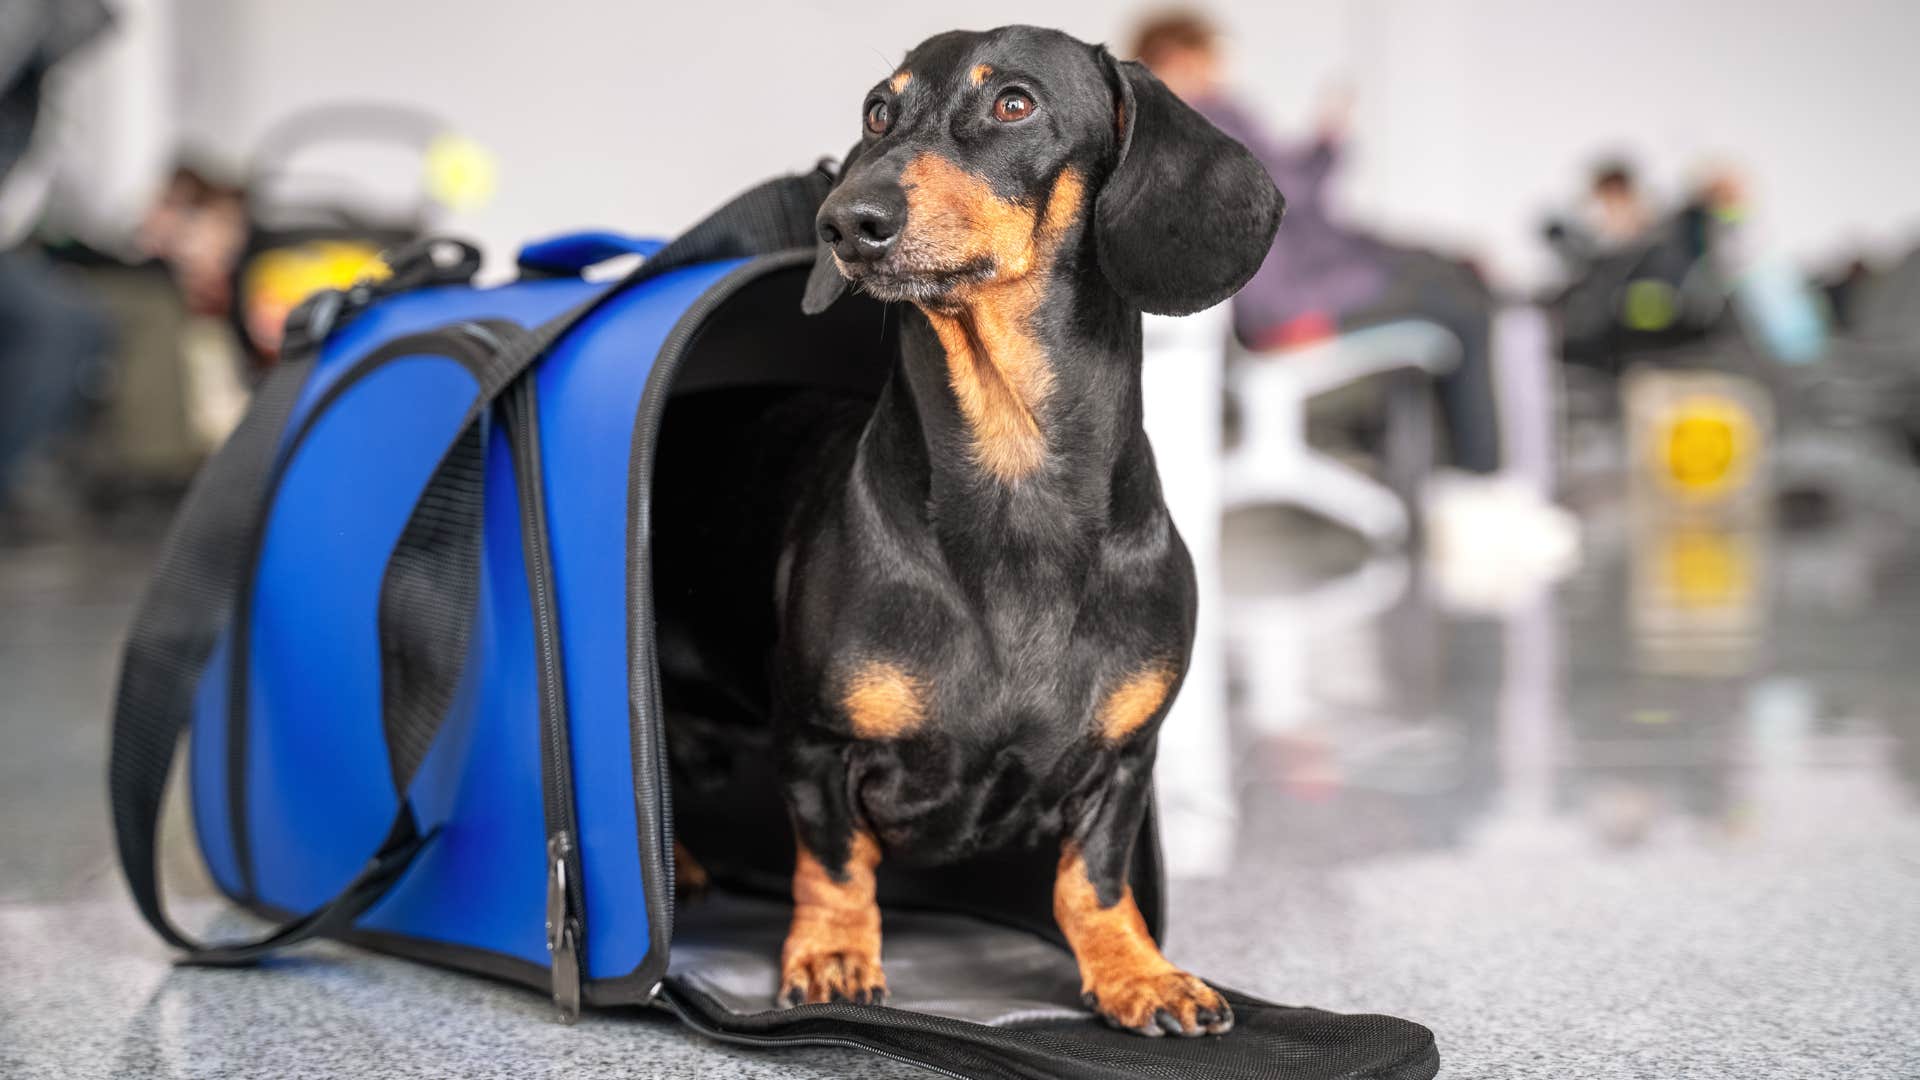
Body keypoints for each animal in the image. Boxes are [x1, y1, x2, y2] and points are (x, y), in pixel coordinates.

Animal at [656, 27, 1274, 1037]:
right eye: (878, 111)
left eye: (1014, 104)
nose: (844, 220)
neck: (1013, 480)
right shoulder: (815, 744)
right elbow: (836, 864)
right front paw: (833, 956)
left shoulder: (1124, 761)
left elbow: (1092, 881)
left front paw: (1137, 971)